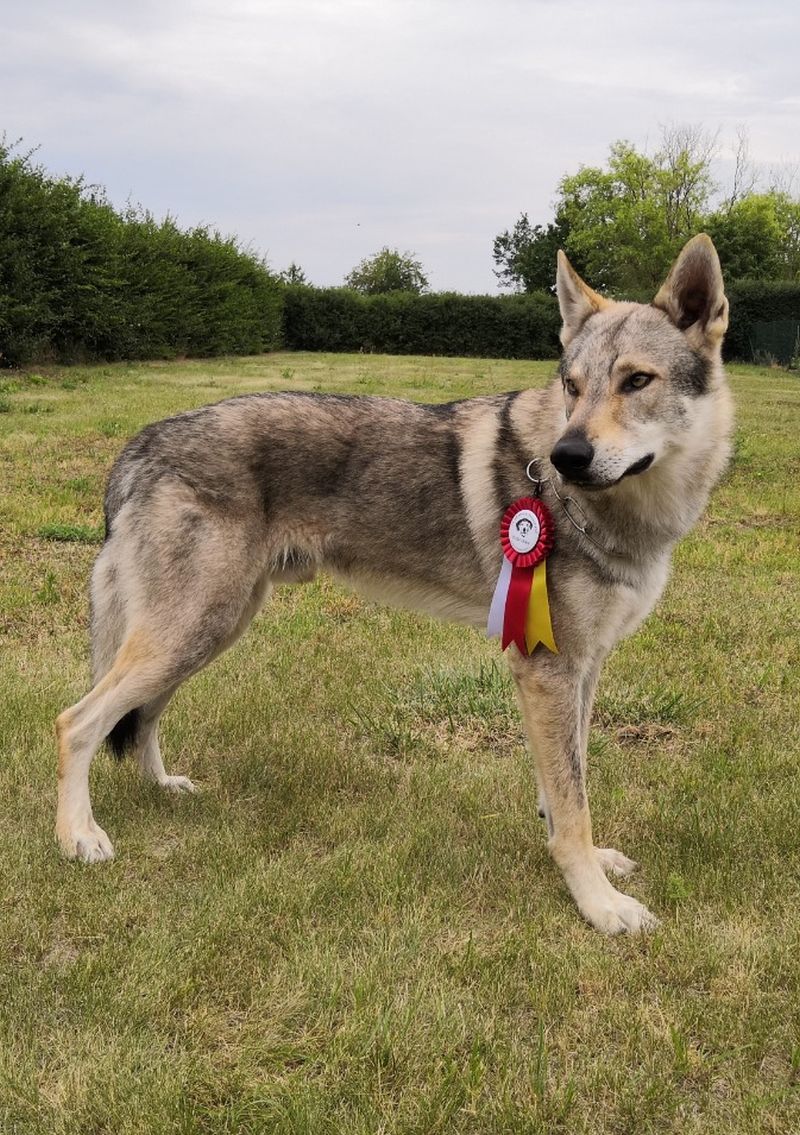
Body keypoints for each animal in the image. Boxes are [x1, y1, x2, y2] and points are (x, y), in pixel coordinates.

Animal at [54, 234, 730, 935]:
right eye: (572, 386)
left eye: (636, 380)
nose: (566, 456)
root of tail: (142, 443)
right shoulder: (547, 668)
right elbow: (573, 804)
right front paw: (599, 904)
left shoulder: (582, 667)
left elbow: (568, 784)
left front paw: (595, 868)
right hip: (189, 631)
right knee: (77, 721)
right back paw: (80, 836)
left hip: (206, 633)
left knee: (140, 718)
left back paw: (162, 789)